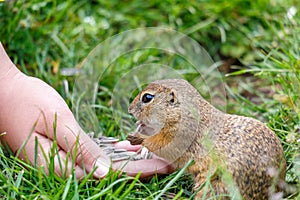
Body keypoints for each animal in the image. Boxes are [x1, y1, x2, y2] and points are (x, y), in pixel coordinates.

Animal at [126, 79, 286, 199]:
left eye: (147, 98)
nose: (129, 109)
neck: (180, 113)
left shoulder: (177, 138)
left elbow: (158, 144)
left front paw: (138, 138)